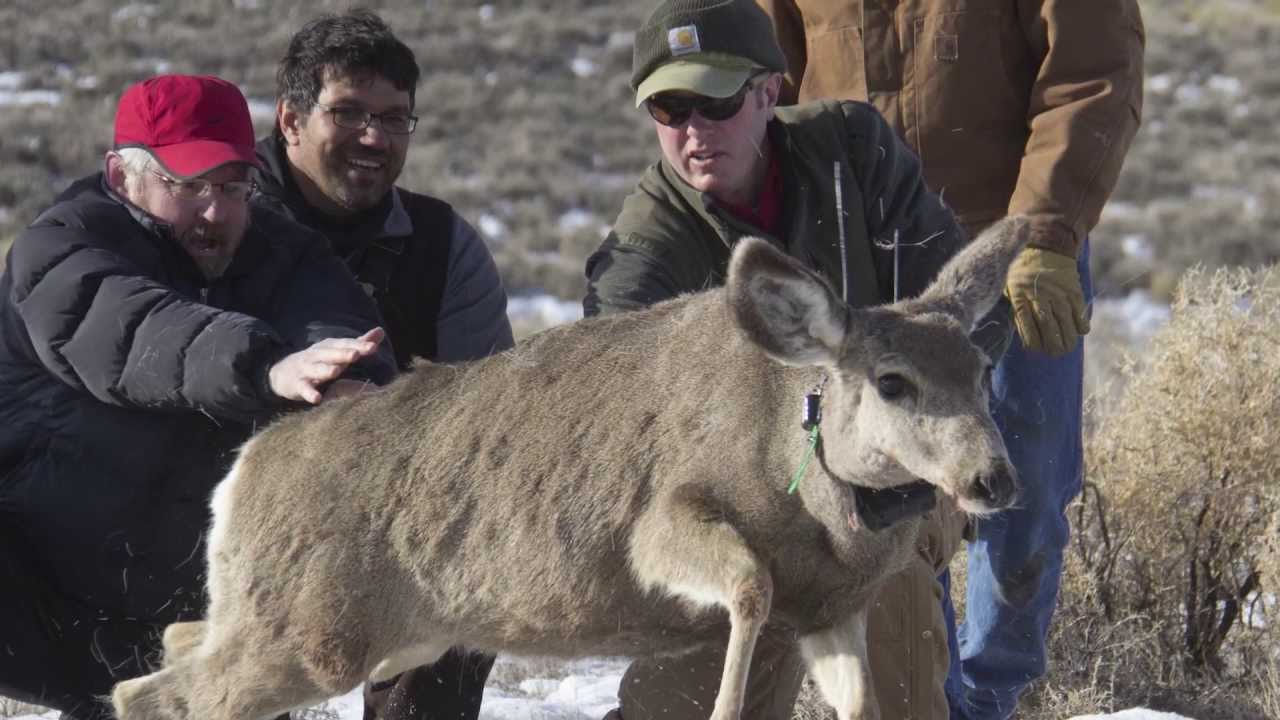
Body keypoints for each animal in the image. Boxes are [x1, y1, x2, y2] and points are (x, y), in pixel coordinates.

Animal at [111, 217, 1028, 720]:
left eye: (984, 369)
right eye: (892, 380)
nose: (994, 481)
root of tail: (243, 470)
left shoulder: (832, 612)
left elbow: (862, 698)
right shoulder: (660, 524)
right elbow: (746, 588)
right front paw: (724, 707)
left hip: (365, 636)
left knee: (175, 645)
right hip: (314, 633)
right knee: (153, 695)